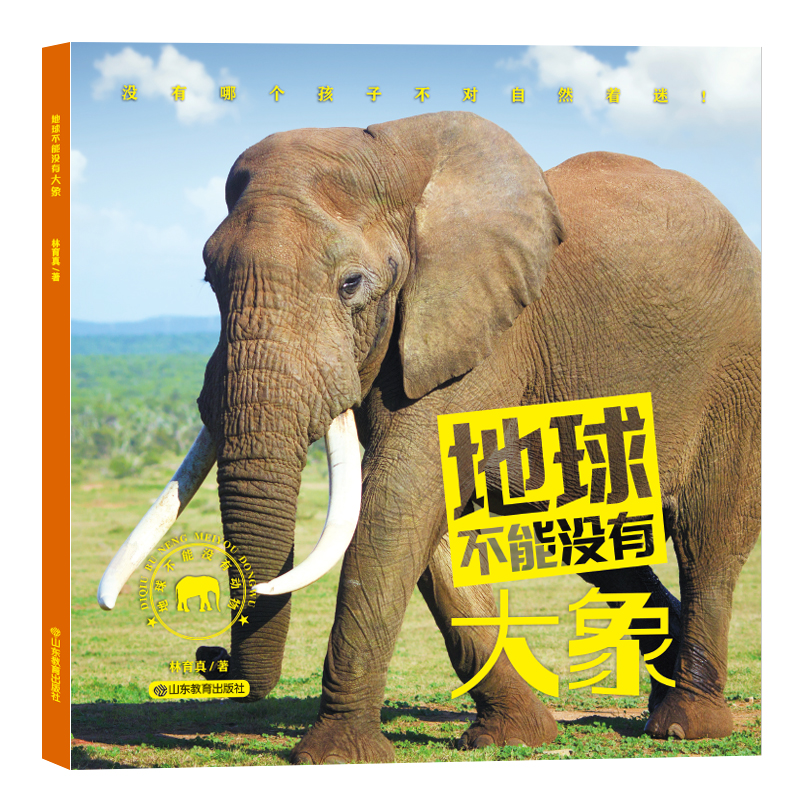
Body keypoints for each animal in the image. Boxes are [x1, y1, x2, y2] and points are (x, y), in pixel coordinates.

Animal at [97, 111, 760, 764]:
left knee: (707, 538)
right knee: (590, 539)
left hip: (736, 377)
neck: (394, 158)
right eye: (209, 280)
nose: (210, 661)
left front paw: (336, 757)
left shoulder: (486, 336)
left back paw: (686, 726)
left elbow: (398, 500)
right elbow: (423, 528)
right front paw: (512, 738)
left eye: (351, 284)